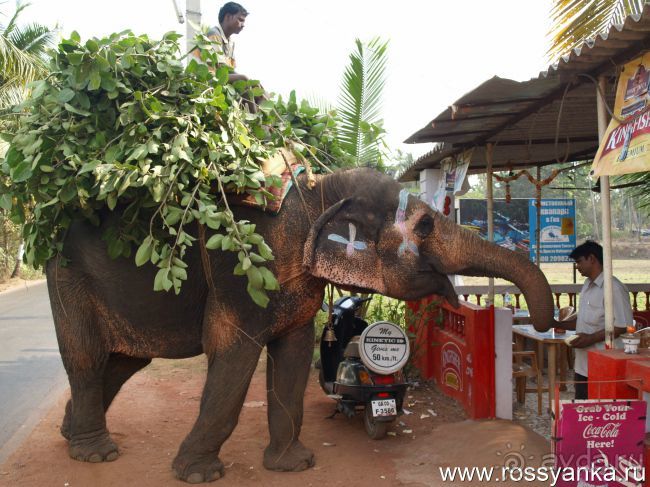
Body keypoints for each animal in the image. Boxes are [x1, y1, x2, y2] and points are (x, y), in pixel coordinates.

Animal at [46, 168, 552, 484]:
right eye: (425, 225)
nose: (544, 325)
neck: (317, 192)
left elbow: (293, 351)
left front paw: (294, 465)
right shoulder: (240, 271)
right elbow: (234, 351)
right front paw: (198, 475)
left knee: (126, 360)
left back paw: (72, 433)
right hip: (66, 275)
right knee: (87, 357)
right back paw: (95, 453)